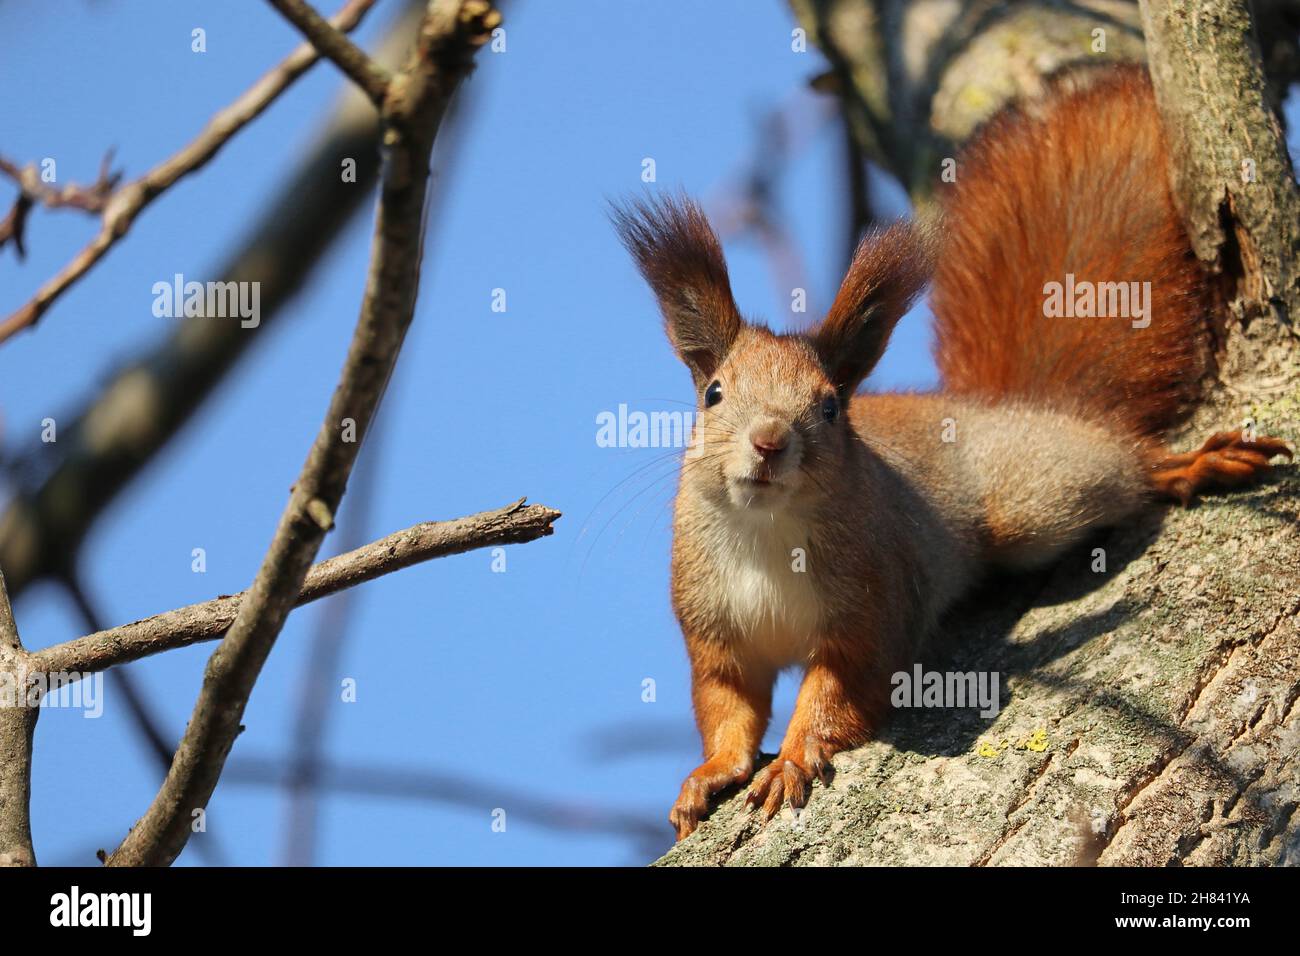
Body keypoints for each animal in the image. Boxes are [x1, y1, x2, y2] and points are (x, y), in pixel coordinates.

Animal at [612, 65, 1293, 841]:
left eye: (831, 405)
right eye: (714, 393)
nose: (769, 441)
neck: (765, 532)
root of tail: (1019, 407)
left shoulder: (874, 605)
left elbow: (839, 690)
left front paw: (792, 756)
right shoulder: (714, 628)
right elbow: (727, 707)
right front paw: (709, 775)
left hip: (1039, 501)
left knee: (1123, 464)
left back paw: (1189, 465)